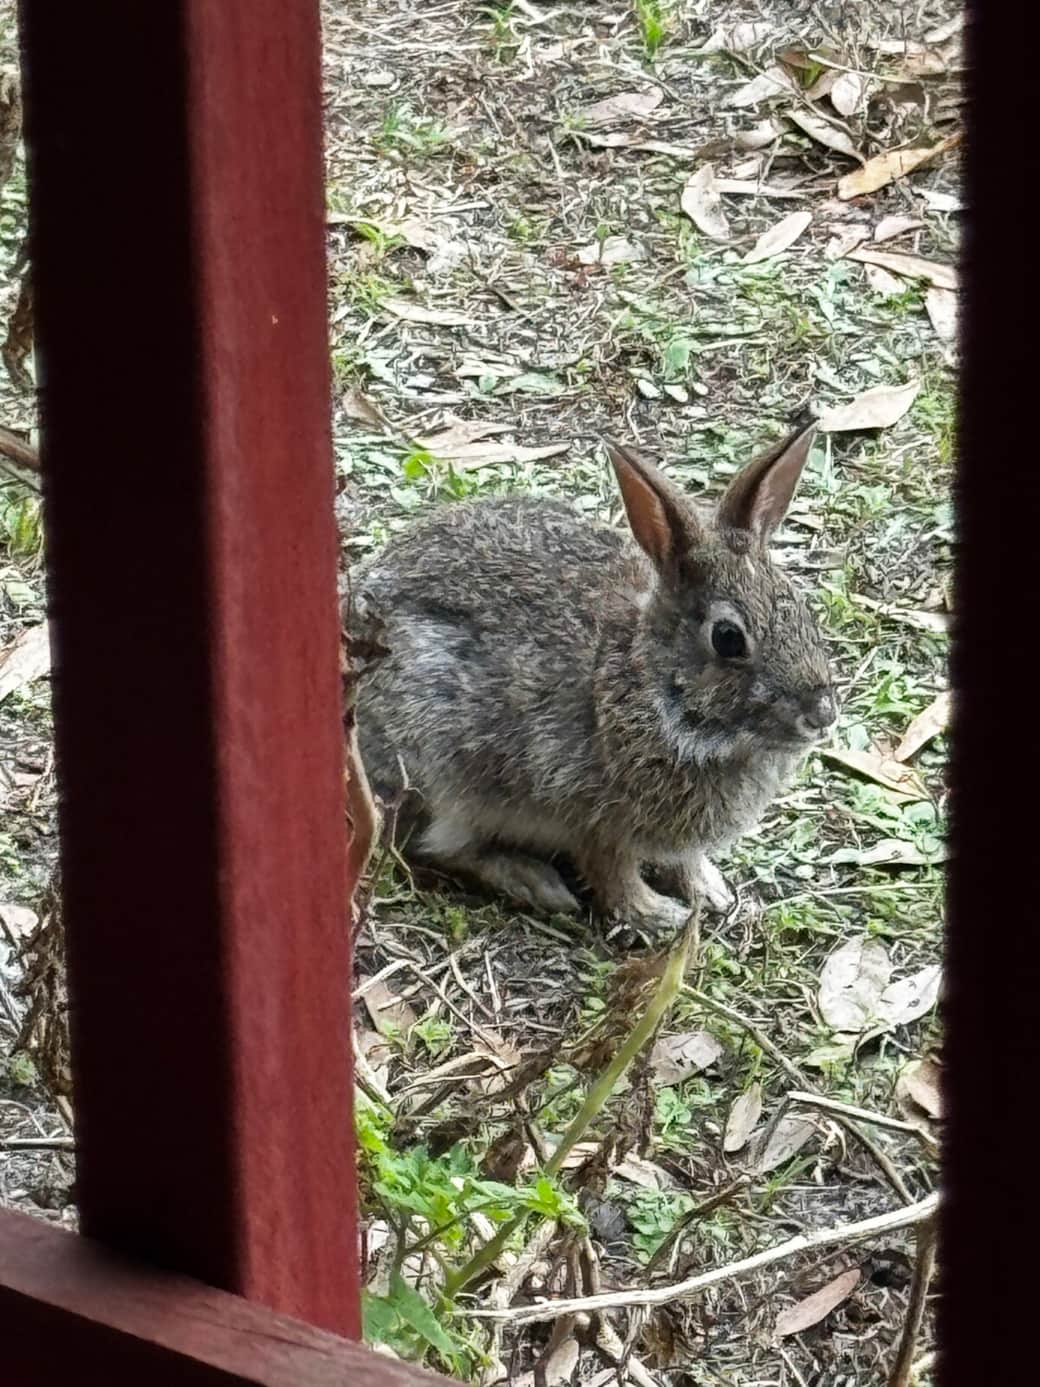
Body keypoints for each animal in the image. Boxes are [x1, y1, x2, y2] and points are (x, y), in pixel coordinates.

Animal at [351, 422, 836, 929]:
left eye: (803, 609)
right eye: (727, 638)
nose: (822, 714)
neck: (647, 683)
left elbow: (683, 861)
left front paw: (710, 891)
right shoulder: (591, 817)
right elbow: (611, 873)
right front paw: (658, 915)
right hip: (436, 770)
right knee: (434, 847)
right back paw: (536, 882)